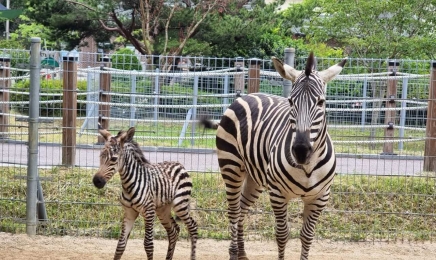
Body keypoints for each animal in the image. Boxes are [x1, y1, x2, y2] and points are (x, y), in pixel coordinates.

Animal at [94, 125, 198, 258]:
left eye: (113, 159)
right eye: (100, 156)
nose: (96, 181)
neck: (129, 185)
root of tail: (179, 164)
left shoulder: (149, 212)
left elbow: (148, 245)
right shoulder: (129, 212)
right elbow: (120, 245)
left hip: (180, 205)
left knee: (193, 227)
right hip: (162, 209)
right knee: (174, 230)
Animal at [201, 51, 348, 258]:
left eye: (321, 102)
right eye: (291, 101)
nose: (301, 151)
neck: (307, 167)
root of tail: (247, 95)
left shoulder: (320, 197)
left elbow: (307, 236)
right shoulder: (278, 194)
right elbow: (282, 234)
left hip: (255, 178)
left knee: (242, 208)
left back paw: (242, 253)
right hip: (231, 166)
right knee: (234, 211)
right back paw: (233, 253)